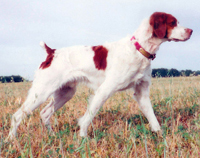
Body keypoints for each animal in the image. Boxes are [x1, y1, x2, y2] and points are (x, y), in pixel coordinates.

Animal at [7, 11, 192, 139]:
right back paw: (11, 140)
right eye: (173, 22)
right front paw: (82, 137)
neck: (138, 49)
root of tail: (51, 52)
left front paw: (161, 136)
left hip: (65, 92)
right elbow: (89, 115)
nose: (190, 30)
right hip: (41, 92)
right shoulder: (105, 89)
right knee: (17, 116)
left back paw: (52, 136)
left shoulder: (142, 93)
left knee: (45, 113)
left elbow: (153, 118)